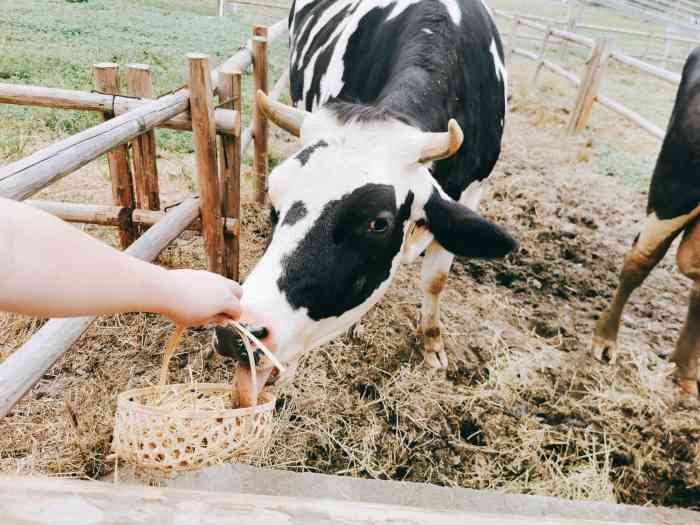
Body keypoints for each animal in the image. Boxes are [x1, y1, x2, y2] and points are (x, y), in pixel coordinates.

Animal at [216, 0, 516, 406]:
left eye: (378, 223)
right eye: (275, 201)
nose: (236, 334)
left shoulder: (472, 191)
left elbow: (436, 279)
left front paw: (433, 346)